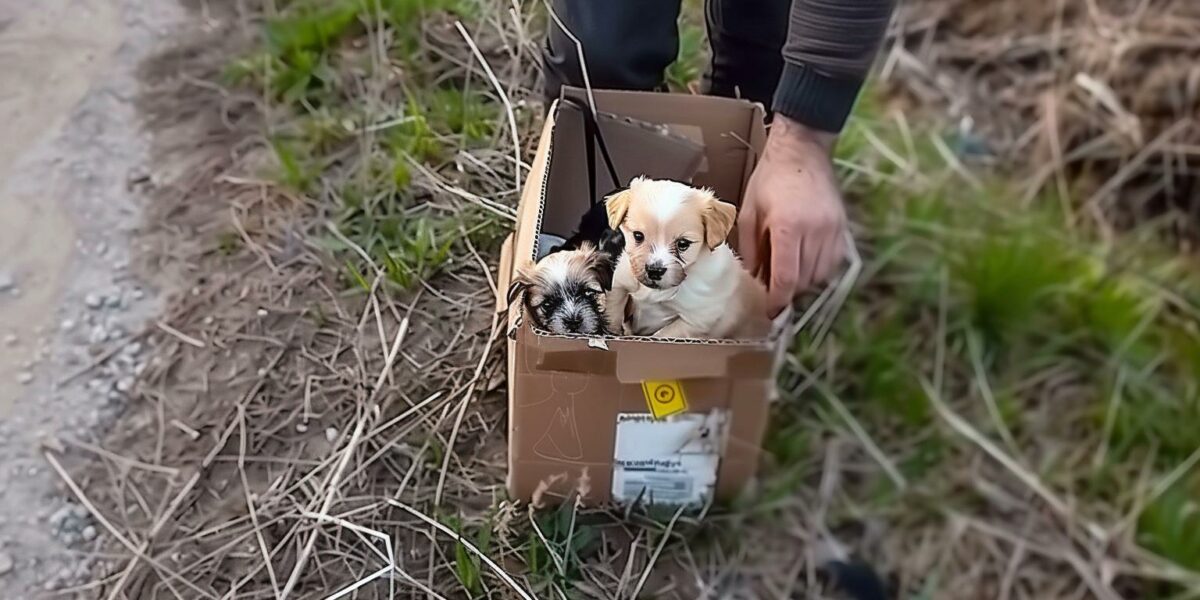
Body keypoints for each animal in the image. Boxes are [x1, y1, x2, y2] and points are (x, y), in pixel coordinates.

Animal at [609, 175, 768, 340]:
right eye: (638, 236)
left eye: (683, 244)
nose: (654, 271)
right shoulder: (620, 282)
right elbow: (613, 308)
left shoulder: (696, 320)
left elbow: (662, 334)